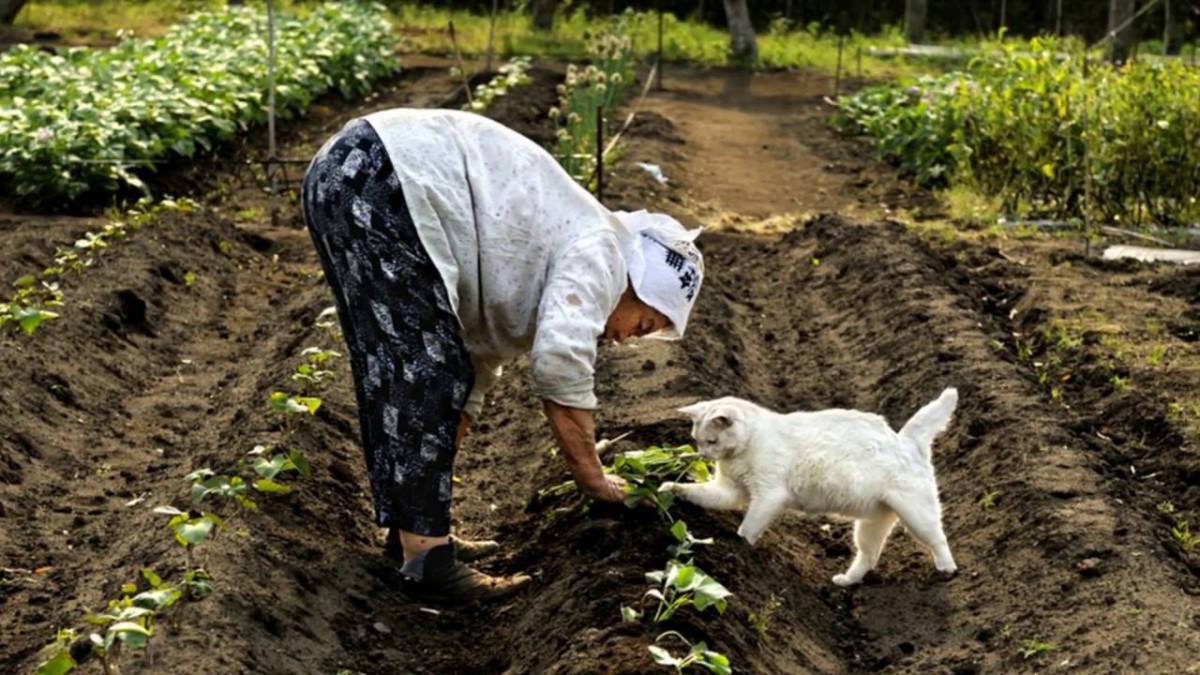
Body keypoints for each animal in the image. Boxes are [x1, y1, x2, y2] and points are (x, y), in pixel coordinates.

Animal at [662, 386, 960, 586]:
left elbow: (748, 528)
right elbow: (697, 492)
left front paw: (740, 547)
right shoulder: (730, 491)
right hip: (871, 525)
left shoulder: (768, 496)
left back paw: (947, 570)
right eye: (696, 440)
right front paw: (668, 488)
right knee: (869, 556)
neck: (740, 452)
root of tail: (907, 440)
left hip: (917, 516)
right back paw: (846, 582)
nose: (703, 455)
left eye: (711, 441)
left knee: (939, 539)